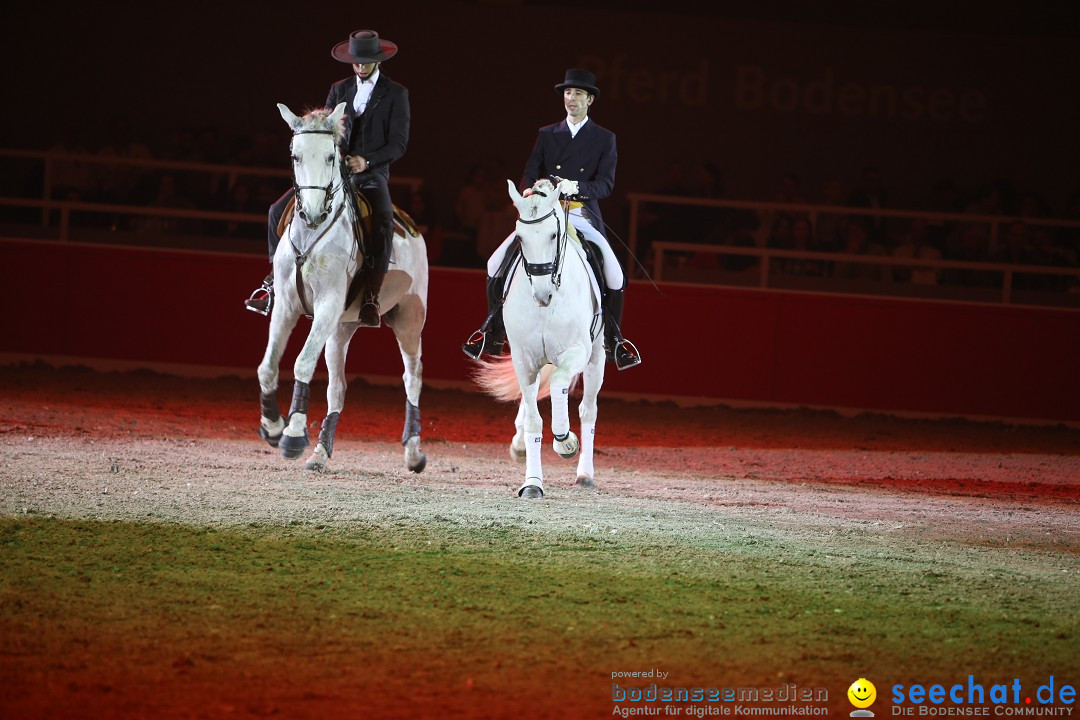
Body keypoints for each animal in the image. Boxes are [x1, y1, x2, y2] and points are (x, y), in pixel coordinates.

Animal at [259, 101, 427, 472]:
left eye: (330, 157)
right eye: (295, 156)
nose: (312, 214)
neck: (310, 236)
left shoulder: (327, 304)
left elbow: (302, 362)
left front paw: (293, 434)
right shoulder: (287, 306)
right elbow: (268, 366)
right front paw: (273, 426)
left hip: (409, 319)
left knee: (413, 377)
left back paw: (414, 451)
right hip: (341, 328)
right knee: (338, 388)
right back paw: (321, 452)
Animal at [475, 177, 609, 498]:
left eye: (552, 235)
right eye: (521, 238)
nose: (541, 294)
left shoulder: (577, 351)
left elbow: (560, 383)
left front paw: (565, 440)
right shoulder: (524, 359)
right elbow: (534, 419)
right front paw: (532, 482)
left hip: (597, 357)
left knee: (588, 410)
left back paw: (585, 474)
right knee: (532, 400)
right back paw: (520, 444)